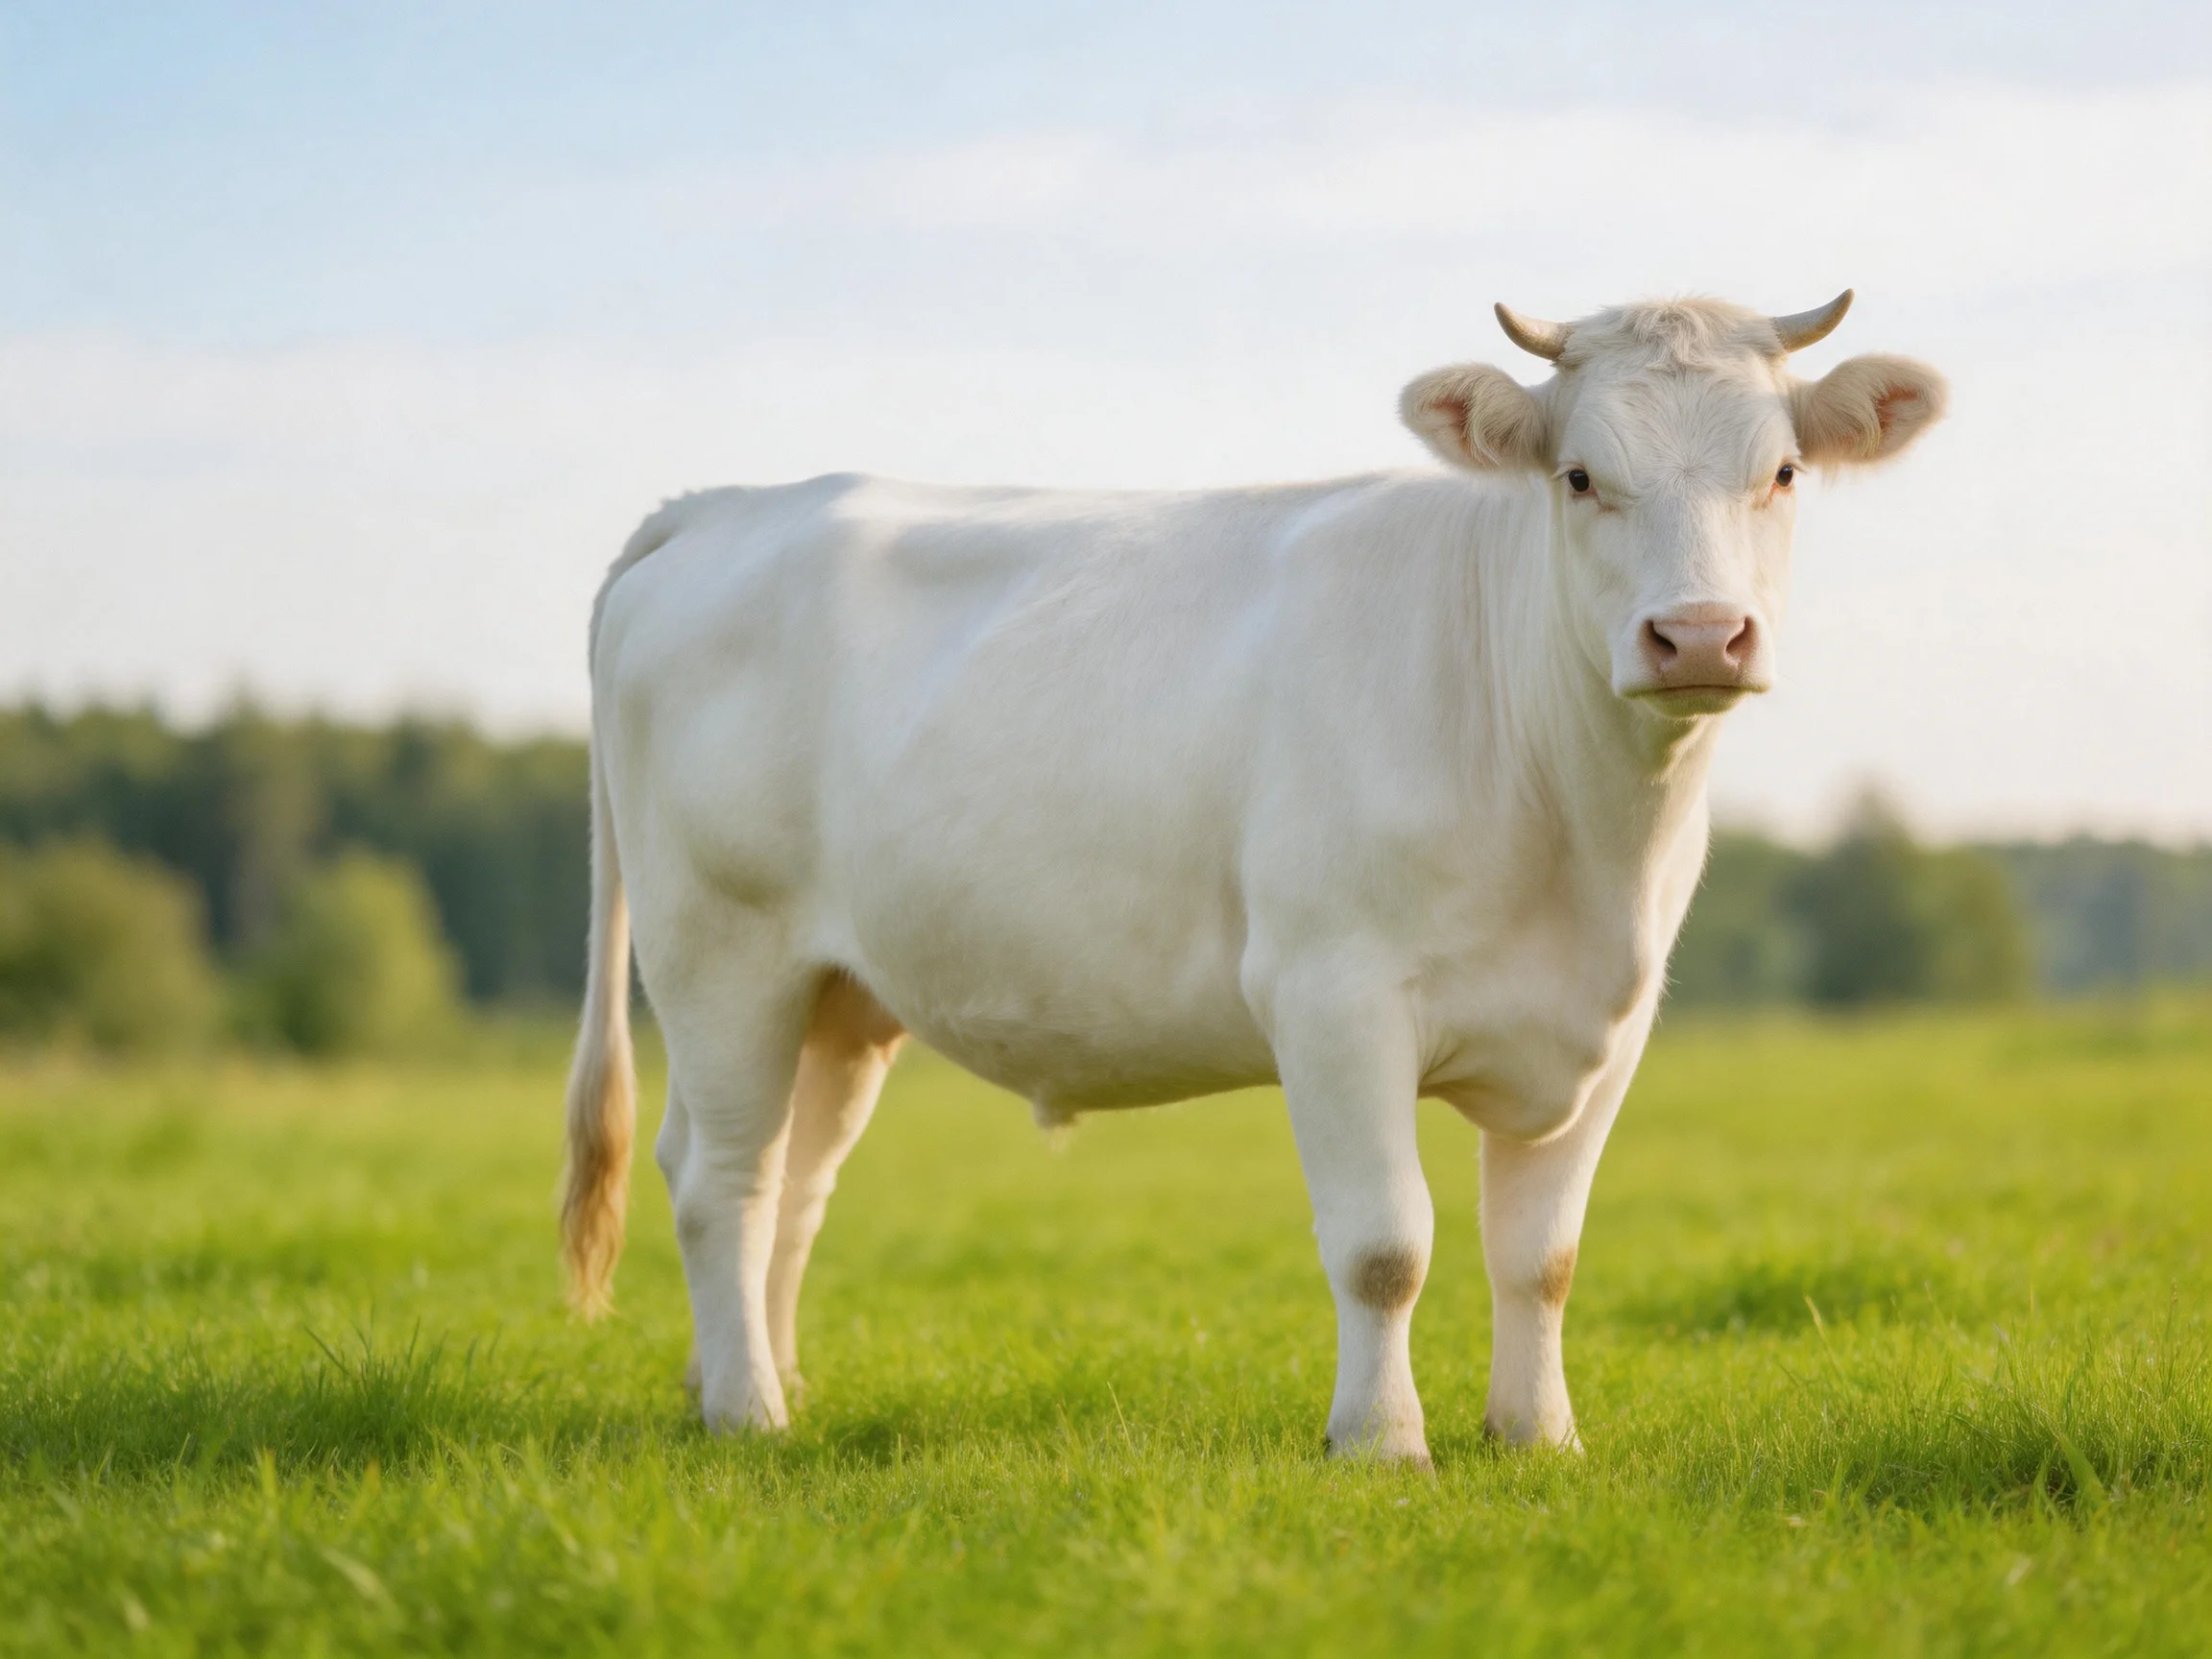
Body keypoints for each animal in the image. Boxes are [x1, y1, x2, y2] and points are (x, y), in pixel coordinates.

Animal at [560, 291, 1945, 1462]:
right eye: (1581, 476)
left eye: (1782, 472)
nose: (1699, 635)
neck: (1581, 836)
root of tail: (729, 503)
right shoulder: (1331, 992)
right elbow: (1386, 1246)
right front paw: (1381, 1444)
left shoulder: (1609, 1023)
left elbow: (1540, 1257)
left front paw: (1537, 1437)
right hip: (720, 950)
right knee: (721, 1180)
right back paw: (748, 1416)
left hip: (841, 996)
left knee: (794, 1184)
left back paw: (760, 1383)